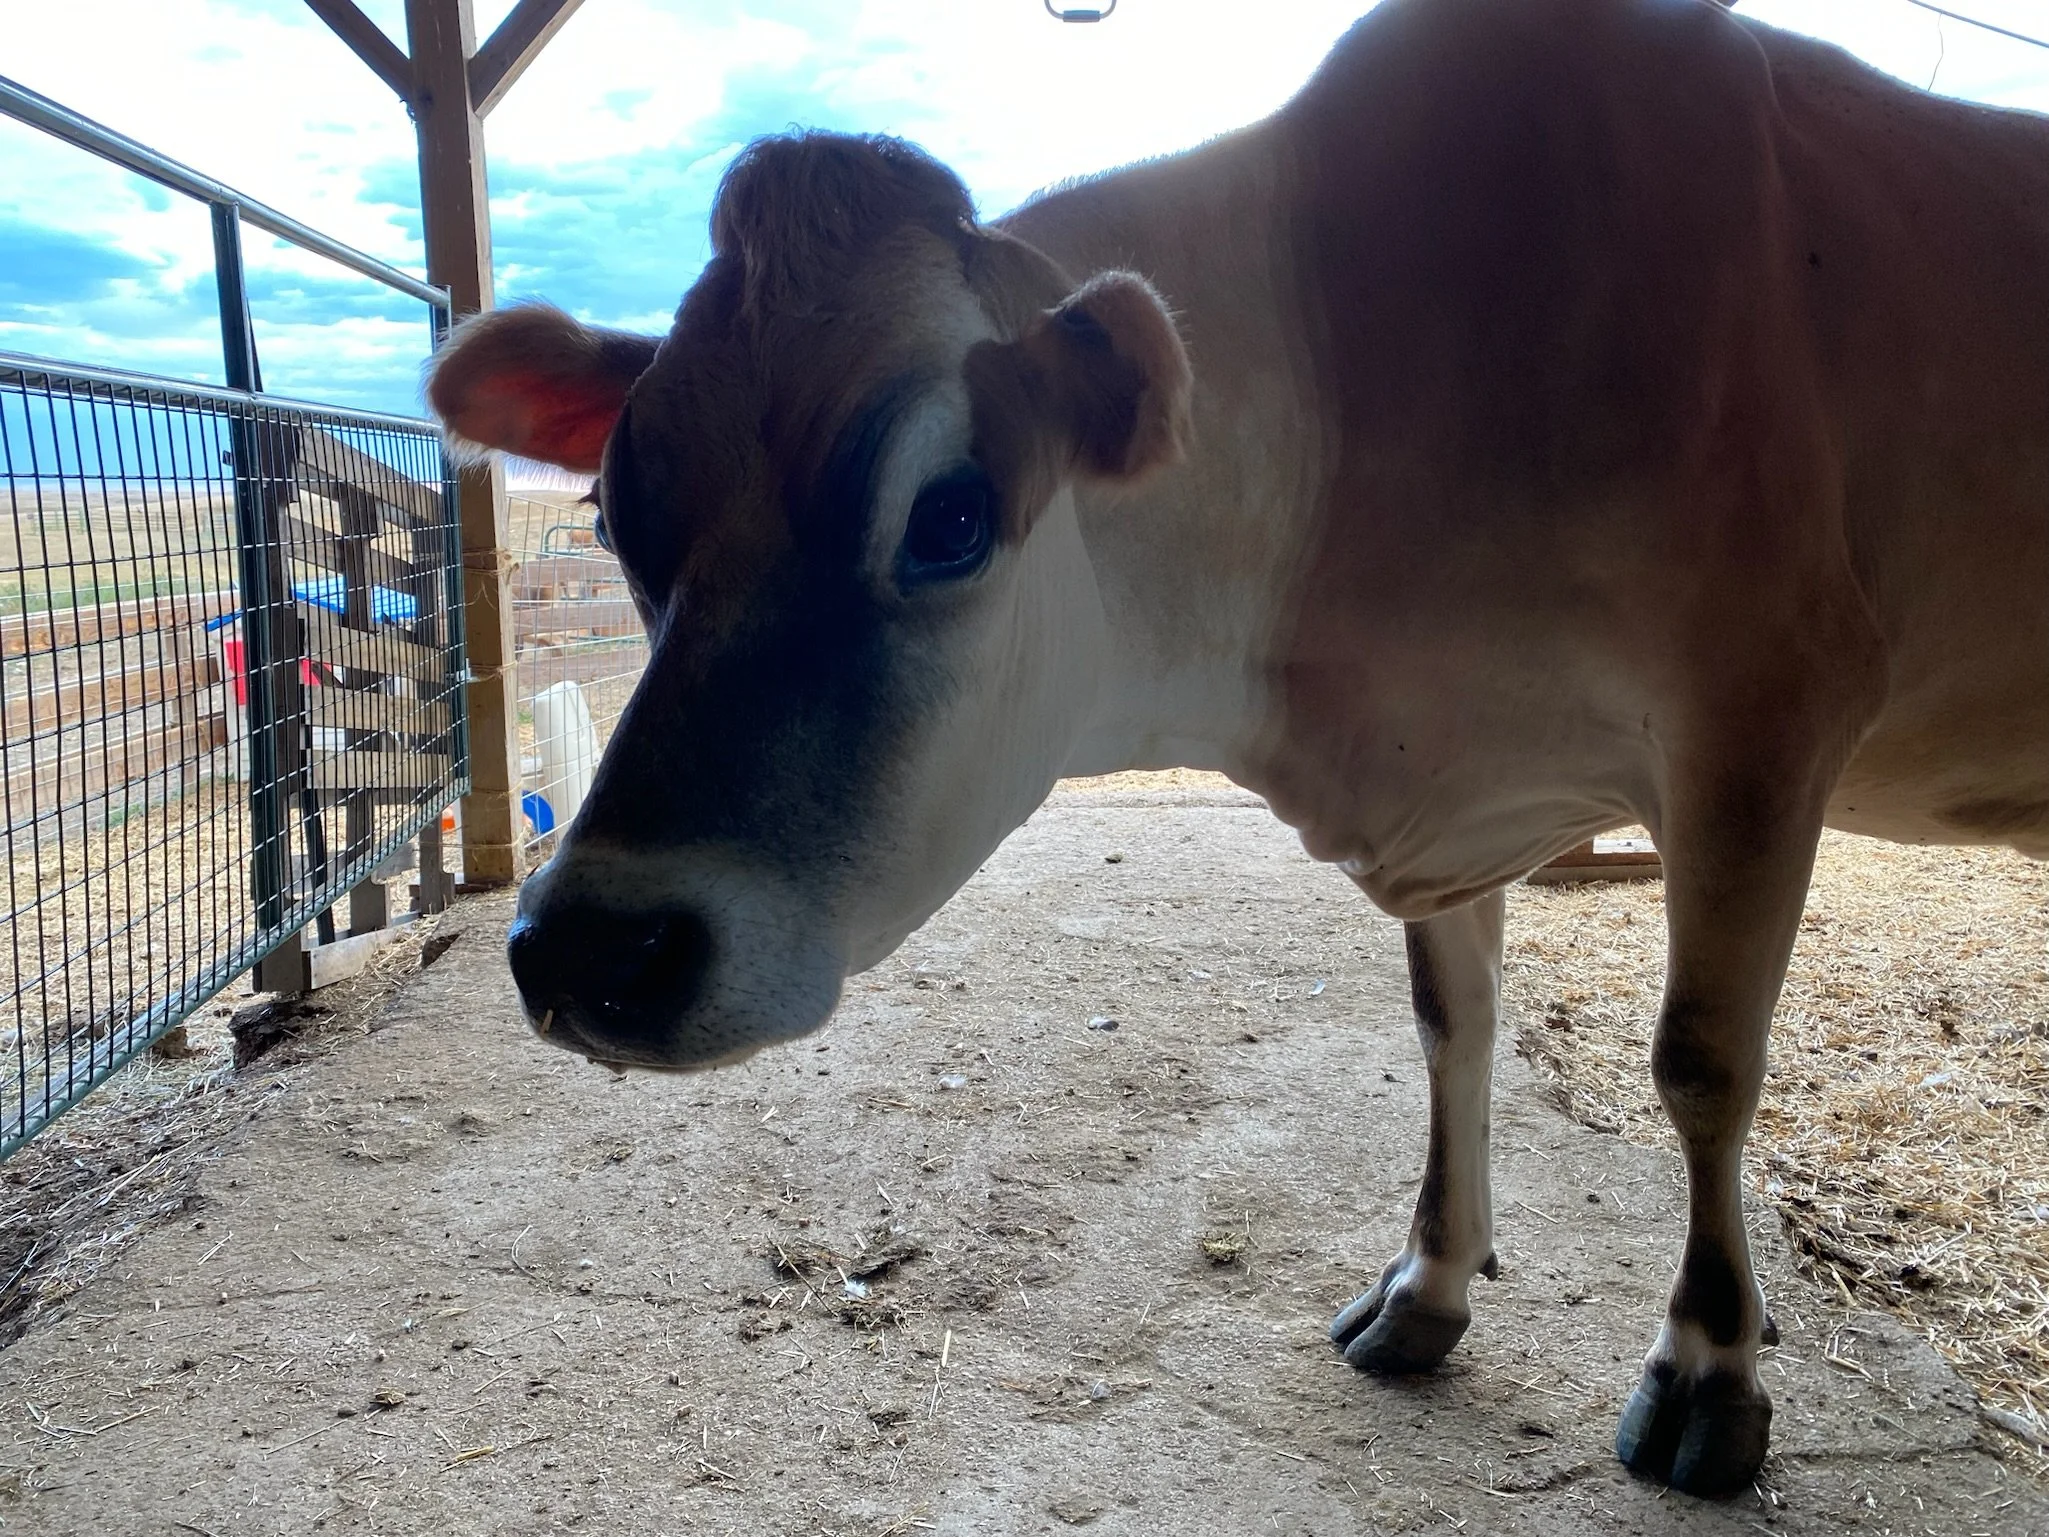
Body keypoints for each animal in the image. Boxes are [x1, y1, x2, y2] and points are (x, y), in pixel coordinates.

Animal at [426, 0, 2049, 1497]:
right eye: (616, 516)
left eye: (950, 514)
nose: (591, 948)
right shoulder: (1456, 799)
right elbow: (1451, 1024)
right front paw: (1428, 1286)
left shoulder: (1760, 722)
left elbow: (1703, 1063)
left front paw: (1709, 1366)